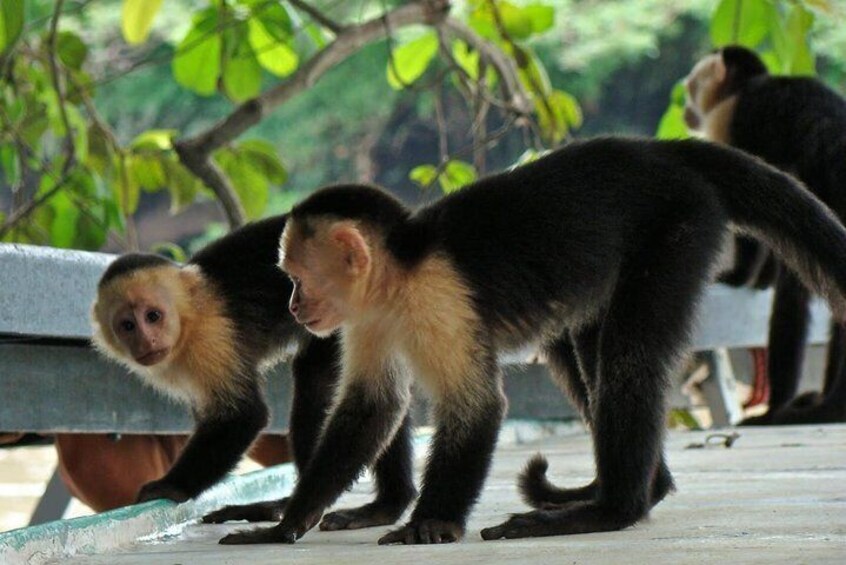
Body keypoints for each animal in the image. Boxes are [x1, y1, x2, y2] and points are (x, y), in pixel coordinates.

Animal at [88, 214, 414, 532]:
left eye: (153, 316)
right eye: (127, 326)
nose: (146, 341)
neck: (189, 317)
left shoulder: (211, 335)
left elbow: (243, 416)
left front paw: (171, 486)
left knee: (320, 384)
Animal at [219, 134, 846, 544]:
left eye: (296, 279)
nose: (296, 306)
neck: (399, 275)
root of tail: (660, 149)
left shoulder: (440, 297)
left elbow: (477, 406)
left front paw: (432, 522)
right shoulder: (367, 317)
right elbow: (372, 406)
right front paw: (287, 525)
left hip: (678, 225)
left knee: (630, 358)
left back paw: (611, 511)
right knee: (582, 353)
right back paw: (640, 489)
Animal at [684, 45, 846, 424]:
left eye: (690, 89)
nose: (684, 110)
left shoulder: (731, 117)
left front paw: (739, 276)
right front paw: (761, 280)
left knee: (795, 290)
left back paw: (780, 407)